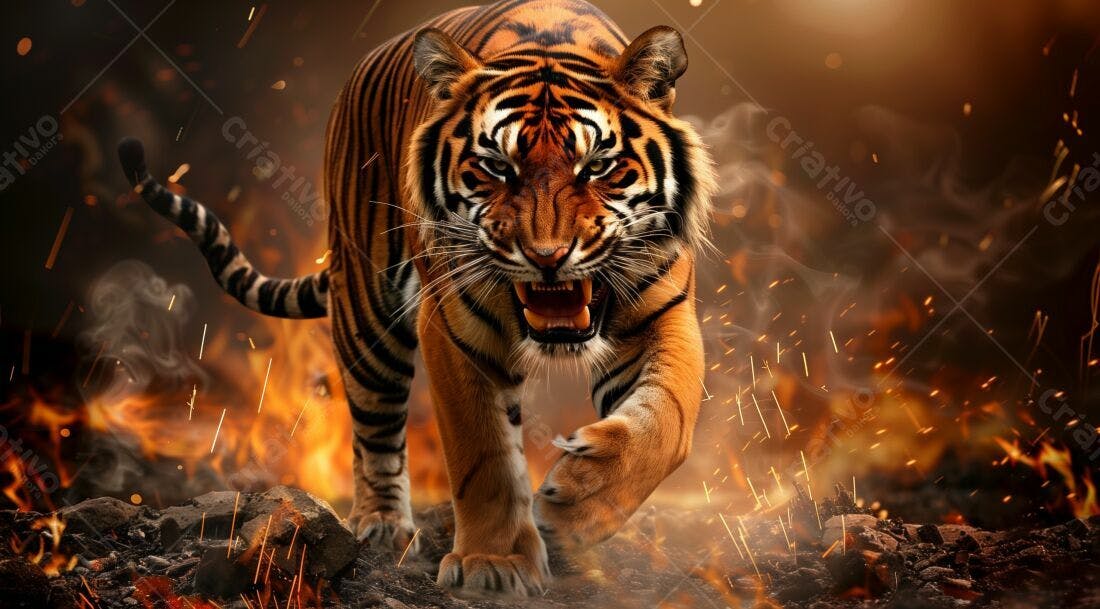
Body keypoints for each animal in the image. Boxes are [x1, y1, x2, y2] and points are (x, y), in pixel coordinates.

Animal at [117, 0, 715, 597]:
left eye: (597, 167)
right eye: (497, 167)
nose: (547, 256)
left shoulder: (664, 316)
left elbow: (668, 422)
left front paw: (580, 504)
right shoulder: (453, 330)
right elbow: (483, 454)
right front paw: (493, 562)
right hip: (367, 317)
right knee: (375, 431)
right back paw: (382, 526)